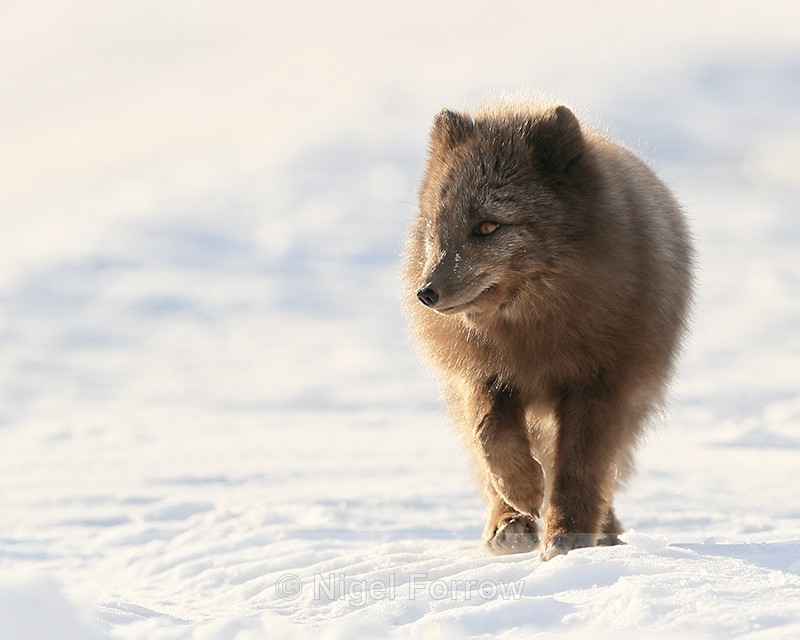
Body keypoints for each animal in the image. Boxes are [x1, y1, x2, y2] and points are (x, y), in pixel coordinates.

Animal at [402, 98, 693, 561]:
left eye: (488, 226)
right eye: (436, 227)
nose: (425, 293)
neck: (533, 335)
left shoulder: (599, 384)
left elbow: (578, 468)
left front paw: (567, 538)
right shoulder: (484, 376)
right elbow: (490, 434)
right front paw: (523, 490)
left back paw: (601, 530)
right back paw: (509, 523)